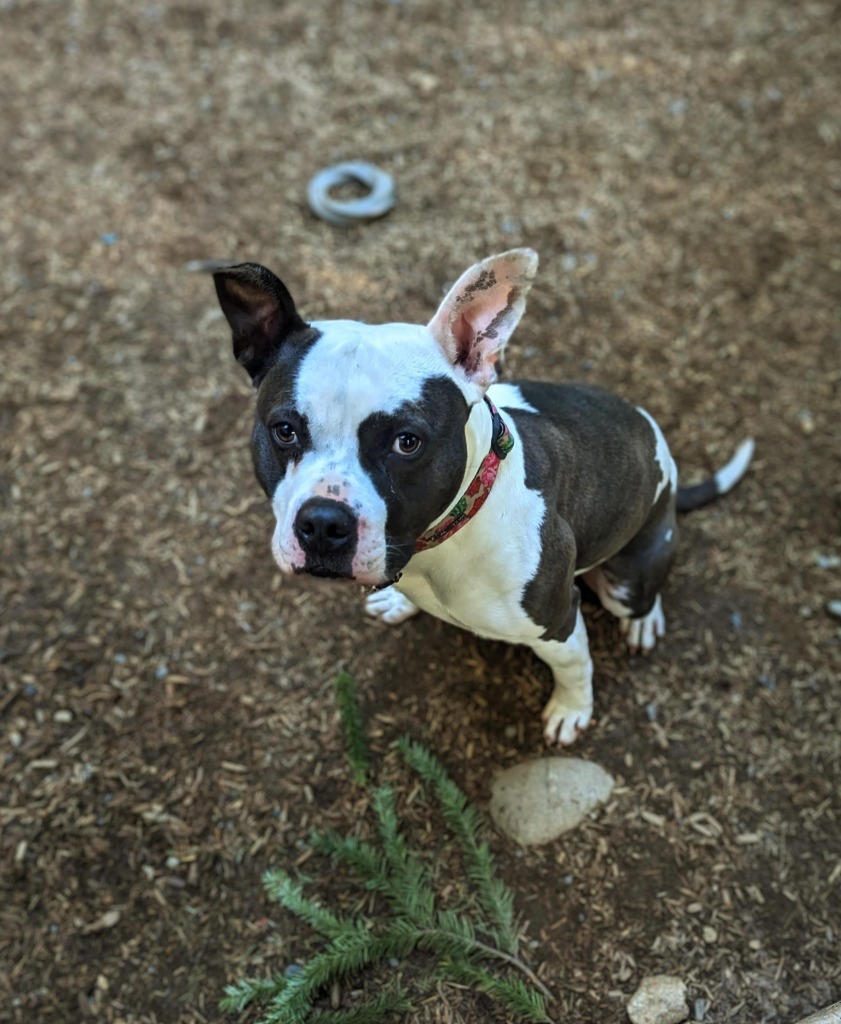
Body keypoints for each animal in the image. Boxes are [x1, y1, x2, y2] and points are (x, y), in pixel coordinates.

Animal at [199, 247, 749, 745]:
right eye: (285, 430)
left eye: (407, 441)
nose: (322, 524)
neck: (440, 542)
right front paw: (398, 601)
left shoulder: (558, 622)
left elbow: (576, 668)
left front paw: (571, 710)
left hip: (628, 579)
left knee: (640, 596)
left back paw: (643, 622)